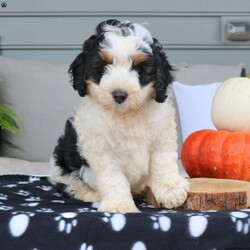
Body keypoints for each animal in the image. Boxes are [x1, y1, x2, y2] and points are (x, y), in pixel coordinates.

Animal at [48, 18, 189, 212]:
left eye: (139, 68)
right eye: (103, 67)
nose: (120, 95)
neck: (126, 115)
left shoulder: (162, 135)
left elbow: (163, 162)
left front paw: (171, 190)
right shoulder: (101, 150)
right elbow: (113, 178)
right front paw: (119, 206)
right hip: (62, 164)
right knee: (69, 183)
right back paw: (89, 193)